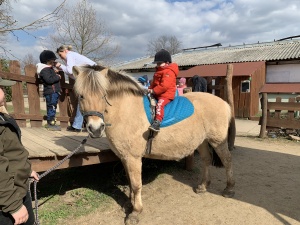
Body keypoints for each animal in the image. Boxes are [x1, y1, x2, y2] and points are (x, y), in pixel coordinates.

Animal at [72, 64, 234, 224]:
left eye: (103, 95)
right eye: (81, 96)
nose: (96, 128)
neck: (126, 111)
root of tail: (224, 103)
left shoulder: (133, 158)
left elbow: (136, 185)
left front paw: (135, 212)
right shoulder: (125, 157)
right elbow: (130, 182)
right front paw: (130, 204)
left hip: (218, 141)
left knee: (227, 160)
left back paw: (229, 189)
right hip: (202, 141)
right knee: (207, 159)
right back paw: (203, 186)